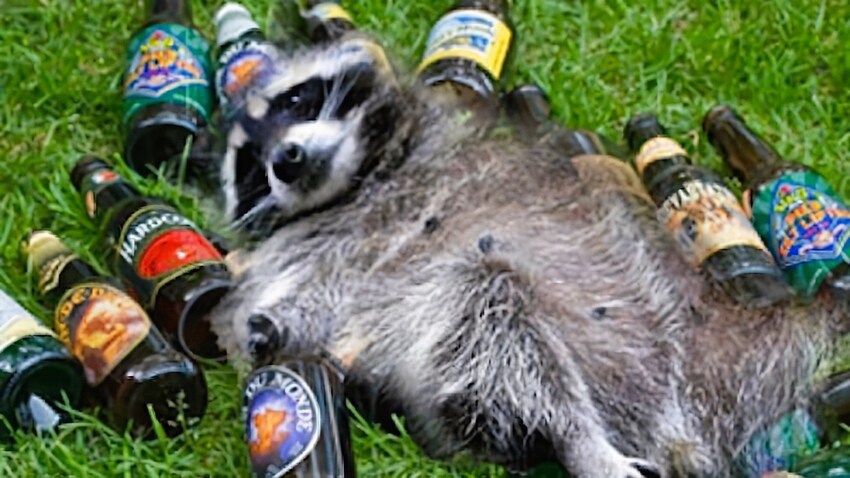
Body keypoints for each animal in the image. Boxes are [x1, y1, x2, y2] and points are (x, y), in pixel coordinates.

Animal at [210, 33, 849, 478]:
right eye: (249, 164)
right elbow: (286, 296)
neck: (365, 180)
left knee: (497, 311)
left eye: (298, 99)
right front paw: (267, 327)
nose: (286, 160)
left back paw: (580, 439)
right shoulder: (317, 243)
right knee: (496, 334)